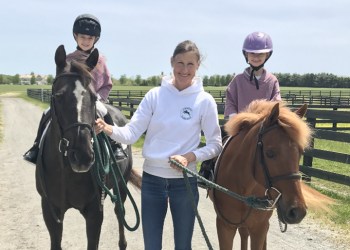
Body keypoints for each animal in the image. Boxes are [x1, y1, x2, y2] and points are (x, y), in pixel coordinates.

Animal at [34, 45, 140, 250]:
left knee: (120, 212)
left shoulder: (94, 212)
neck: (66, 172)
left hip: (121, 185)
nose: (82, 156)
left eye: (92, 97)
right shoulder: (50, 211)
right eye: (58, 96)